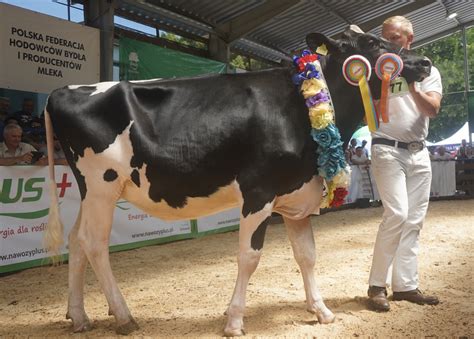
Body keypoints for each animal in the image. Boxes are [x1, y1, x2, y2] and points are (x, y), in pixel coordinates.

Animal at [42, 27, 432, 338]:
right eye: (372, 42)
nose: (425, 63)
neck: (302, 108)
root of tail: (61, 90)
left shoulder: (296, 196)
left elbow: (307, 256)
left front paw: (321, 310)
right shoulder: (258, 192)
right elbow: (249, 257)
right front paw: (234, 320)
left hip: (92, 193)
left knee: (76, 241)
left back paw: (79, 317)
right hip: (102, 185)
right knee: (94, 243)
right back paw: (123, 316)